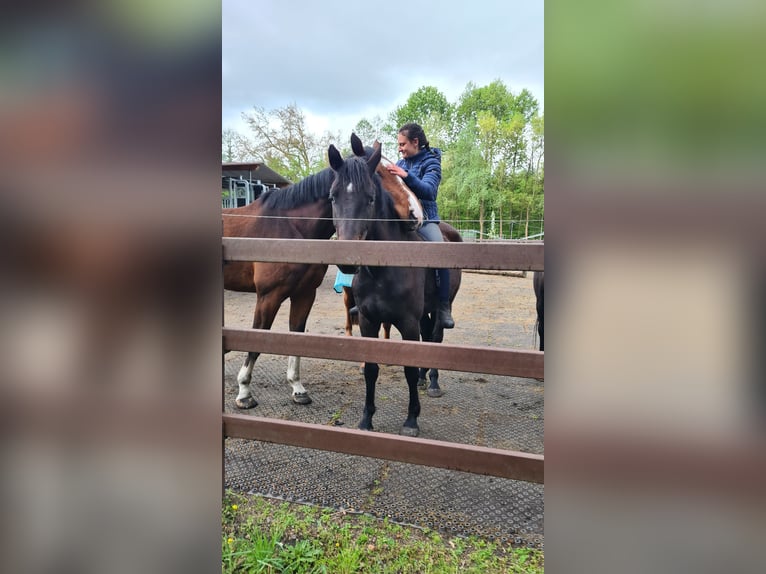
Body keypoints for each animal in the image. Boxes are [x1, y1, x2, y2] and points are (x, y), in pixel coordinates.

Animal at [224, 137, 376, 410]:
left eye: (371, 198)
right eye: (333, 197)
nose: (349, 261)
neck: (291, 229)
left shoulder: (305, 294)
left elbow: (297, 334)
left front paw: (297, 388)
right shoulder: (268, 296)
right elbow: (257, 340)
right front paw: (244, 392)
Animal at [328, 142, 462, 438]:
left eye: (370, 198)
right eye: (332, 197)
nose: (347, 258)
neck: (384, 268)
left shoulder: (407, 322)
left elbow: (408, 368)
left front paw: (411, 420)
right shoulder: (368, 321)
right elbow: (371, 369)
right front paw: (366, 418)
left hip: (439, 309)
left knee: (435, 338)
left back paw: (432, 383)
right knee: (427, 337)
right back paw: (425, 380)